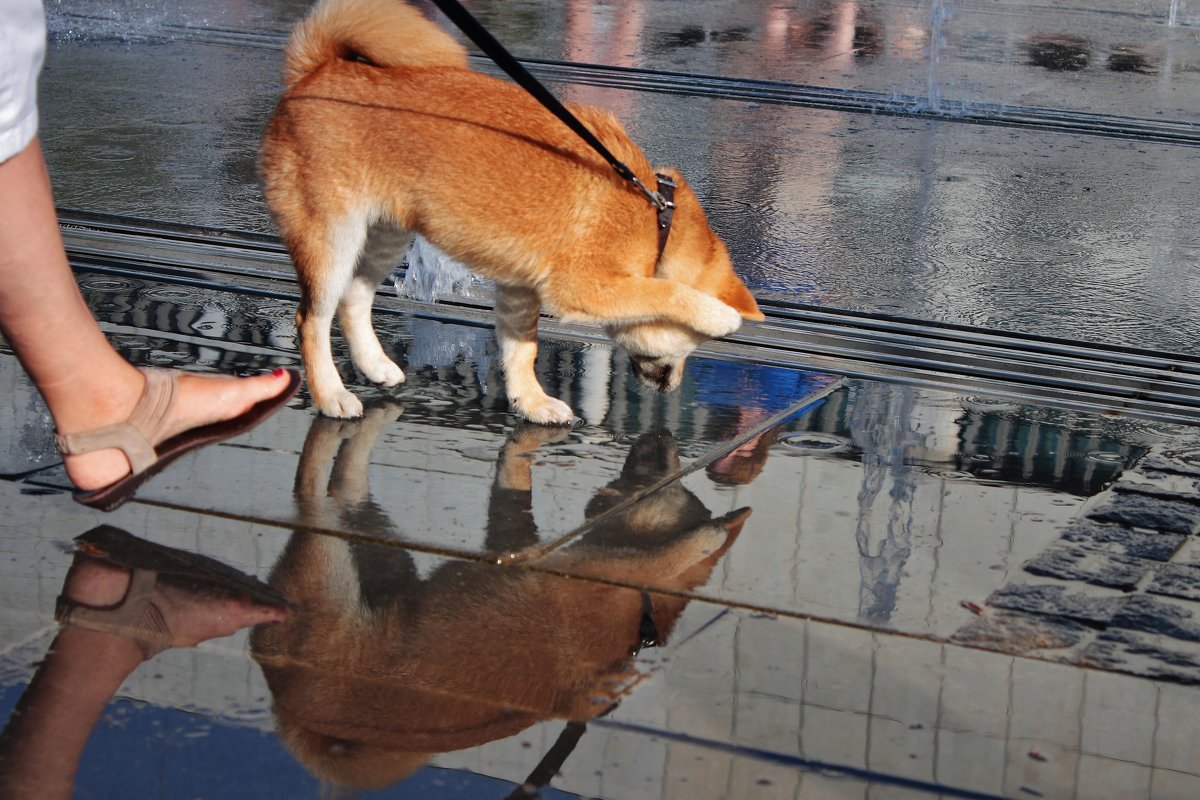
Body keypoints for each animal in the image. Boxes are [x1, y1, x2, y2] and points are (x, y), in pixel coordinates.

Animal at [248, 417, 744, 791]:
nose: (662, 430)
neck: (642, 610)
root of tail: (290, 708)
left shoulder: (528, 548)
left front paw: (704, 539)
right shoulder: (518, 543)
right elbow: (515, 483)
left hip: (348, 561)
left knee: (320, 493)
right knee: (335, 490)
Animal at [262, 0, 763, 424]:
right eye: (692, 344)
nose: (675, 389)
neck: (656, 220)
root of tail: (316, 72)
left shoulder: (520, 289)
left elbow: (522, 351)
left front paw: (531, 401)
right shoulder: (583, 285)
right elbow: (669, 292)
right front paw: (718, 315)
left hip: (384, 235)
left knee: (354, 299)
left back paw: (375, 365)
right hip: (332, 239)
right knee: (312, 319)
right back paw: (330, 394)